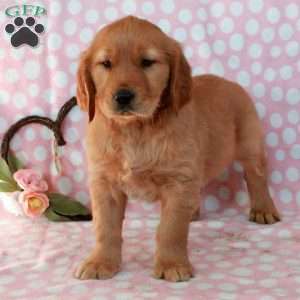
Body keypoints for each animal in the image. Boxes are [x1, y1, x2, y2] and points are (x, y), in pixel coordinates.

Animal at [74, 15, 280, 282]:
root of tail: (230, 82)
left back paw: (263, 209)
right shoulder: (104, 183)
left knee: (256, 177)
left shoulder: (179, 181)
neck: (136, 130)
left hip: (250, 142)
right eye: (106, 64)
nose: (123, 97)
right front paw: (100, 262)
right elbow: (105, 228)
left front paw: (172, 265)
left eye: (147, 62)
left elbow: (171, 229)